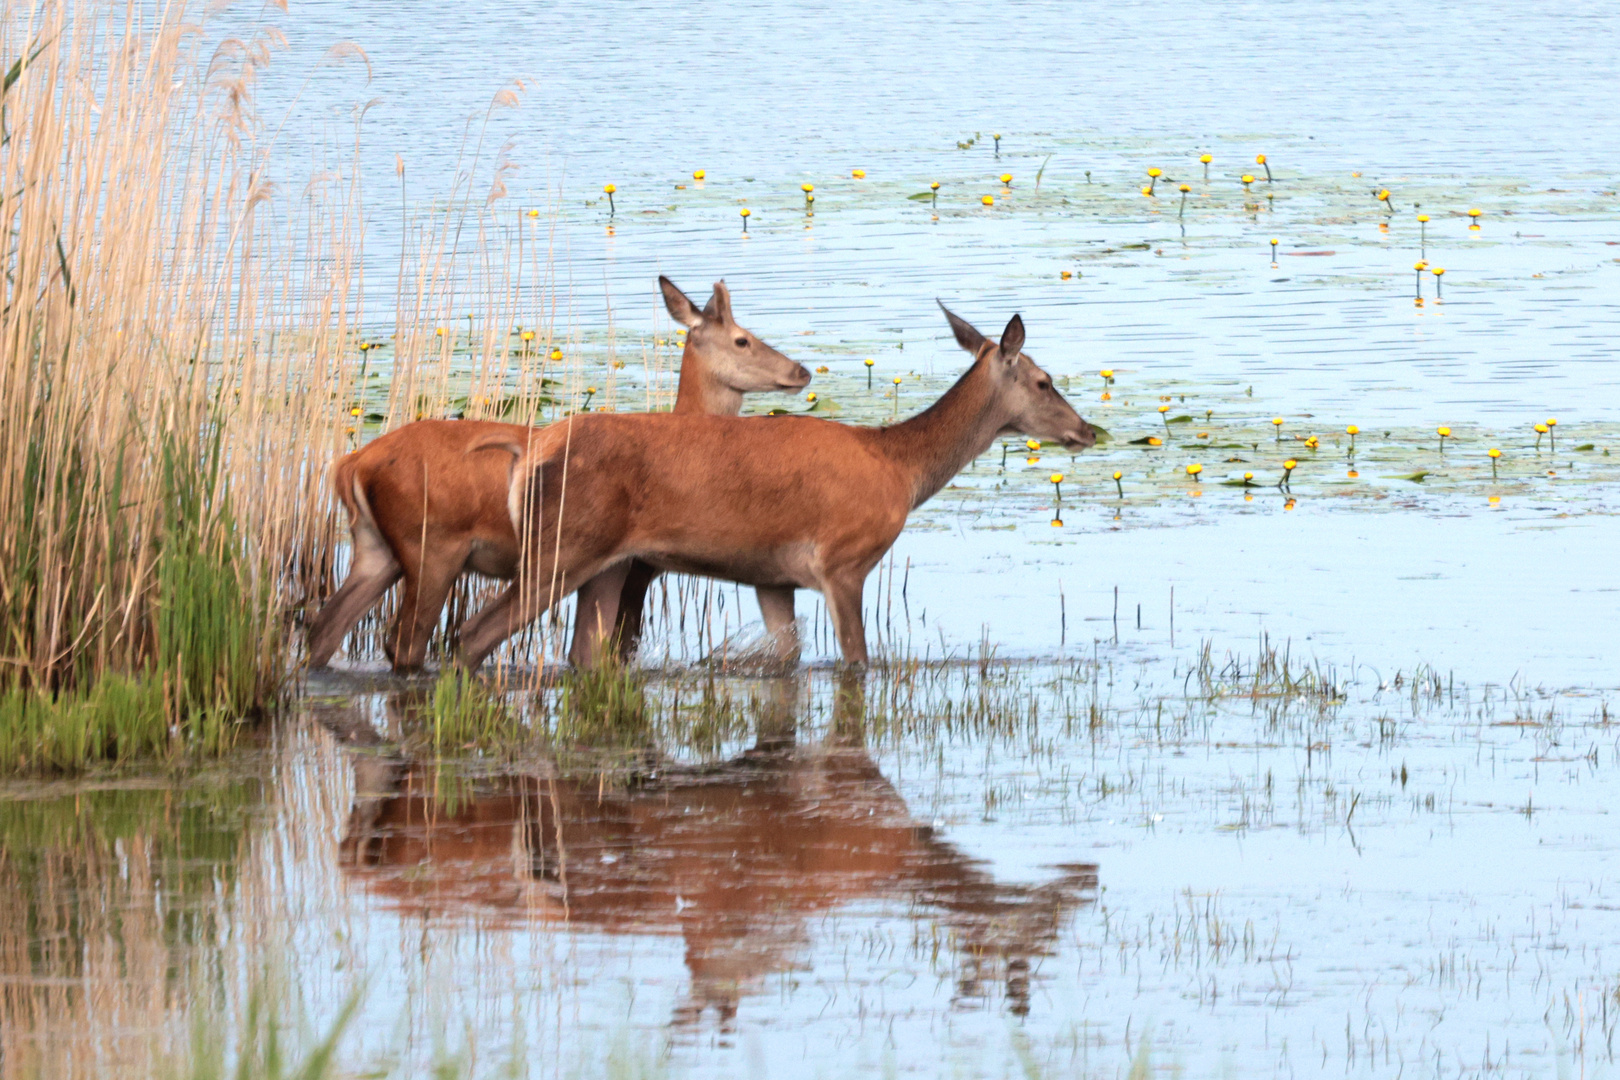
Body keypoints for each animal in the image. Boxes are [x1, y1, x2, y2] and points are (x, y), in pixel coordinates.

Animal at [304, 275, 810, 670]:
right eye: (743, 339)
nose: (801, 371)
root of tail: (350, 465)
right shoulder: (638, 565)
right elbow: (616, 646)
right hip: (433, 545)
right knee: (406, 639)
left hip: (377, 548)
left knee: (324, 628)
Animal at [456, 304, 1101, 670]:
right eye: (1044, 381)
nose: (1087, 430)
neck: (899, 469)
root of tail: (534, 451)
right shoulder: (843, 560)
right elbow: (857, 661)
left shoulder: (772, 577)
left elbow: (788, 658)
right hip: (561, 545)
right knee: (470, 634)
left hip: (607, 564)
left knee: (582, 654)